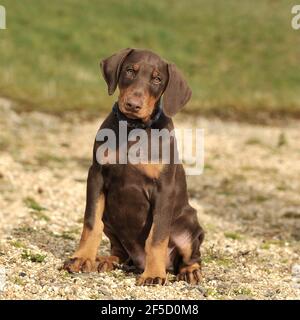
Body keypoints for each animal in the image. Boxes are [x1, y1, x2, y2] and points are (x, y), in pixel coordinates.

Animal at [63, 48, 204, 286]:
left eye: (157, 79)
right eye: (130, 70)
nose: (133, 105)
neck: (133, 128)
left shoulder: (164, 189)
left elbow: (157, 236)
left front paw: (154, 274)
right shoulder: (97, 175)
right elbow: (91, 222)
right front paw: (82, 258)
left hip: (189, 222)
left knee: (191, 256)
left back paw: (189, 271)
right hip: (110, 217)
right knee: (120, 251)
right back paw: (107, 260)